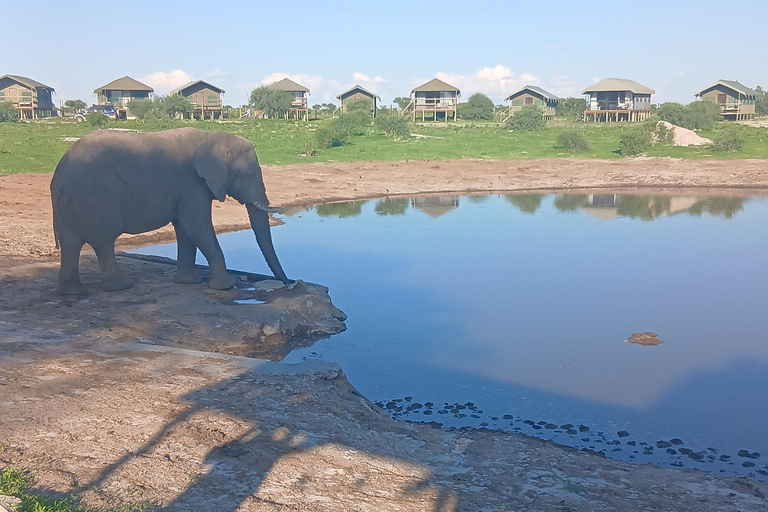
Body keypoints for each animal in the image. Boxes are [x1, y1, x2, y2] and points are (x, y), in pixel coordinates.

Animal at [50, 127, 291, 295]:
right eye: (249, 175)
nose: (290, 283)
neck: (211, 136)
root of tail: (59, 174)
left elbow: (185, 229)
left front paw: (188, 282)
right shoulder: (192, 183)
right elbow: (195, 226)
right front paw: (226, 286)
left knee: (71, 243)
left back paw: (73, 292)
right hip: (95, 198)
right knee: (103, 241)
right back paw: (122, 286)